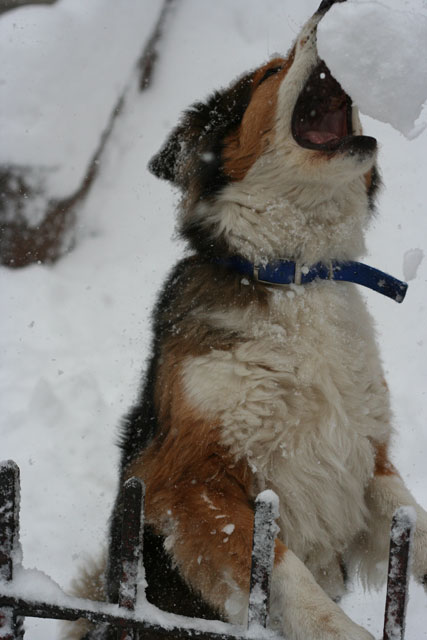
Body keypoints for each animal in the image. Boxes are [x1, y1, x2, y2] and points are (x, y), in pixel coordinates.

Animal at [67, 1, 427, 640]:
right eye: (270, 72)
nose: (328, 8)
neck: (295, 275)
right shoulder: (188, 477)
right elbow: (283, 571)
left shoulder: (368, 459)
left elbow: (420, 523)